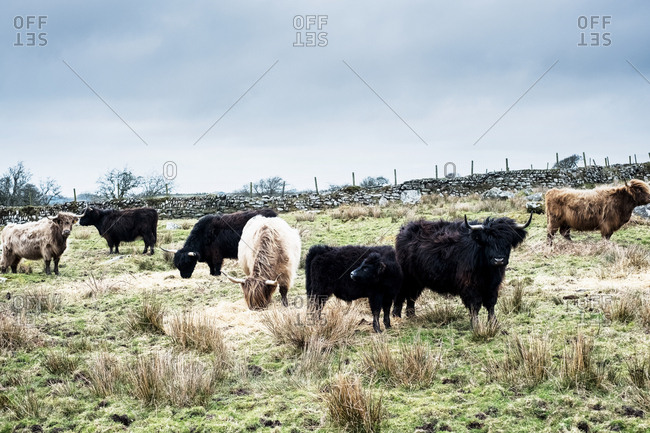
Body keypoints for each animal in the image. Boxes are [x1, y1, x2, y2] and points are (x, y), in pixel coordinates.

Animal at [392, 213, 532, 327]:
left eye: (508, 242)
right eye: (487, 242)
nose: (499, 260)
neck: (488, 271)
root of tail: (404, 230)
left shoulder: (493, 286)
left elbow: (491, 304)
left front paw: (493, 323)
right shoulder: (470, 285)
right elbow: (475, 305)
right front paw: (476, 325)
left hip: (417, 280)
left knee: (411, 296)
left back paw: (412, 315)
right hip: (406, 277)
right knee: (401, 295)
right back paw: (396, 317)